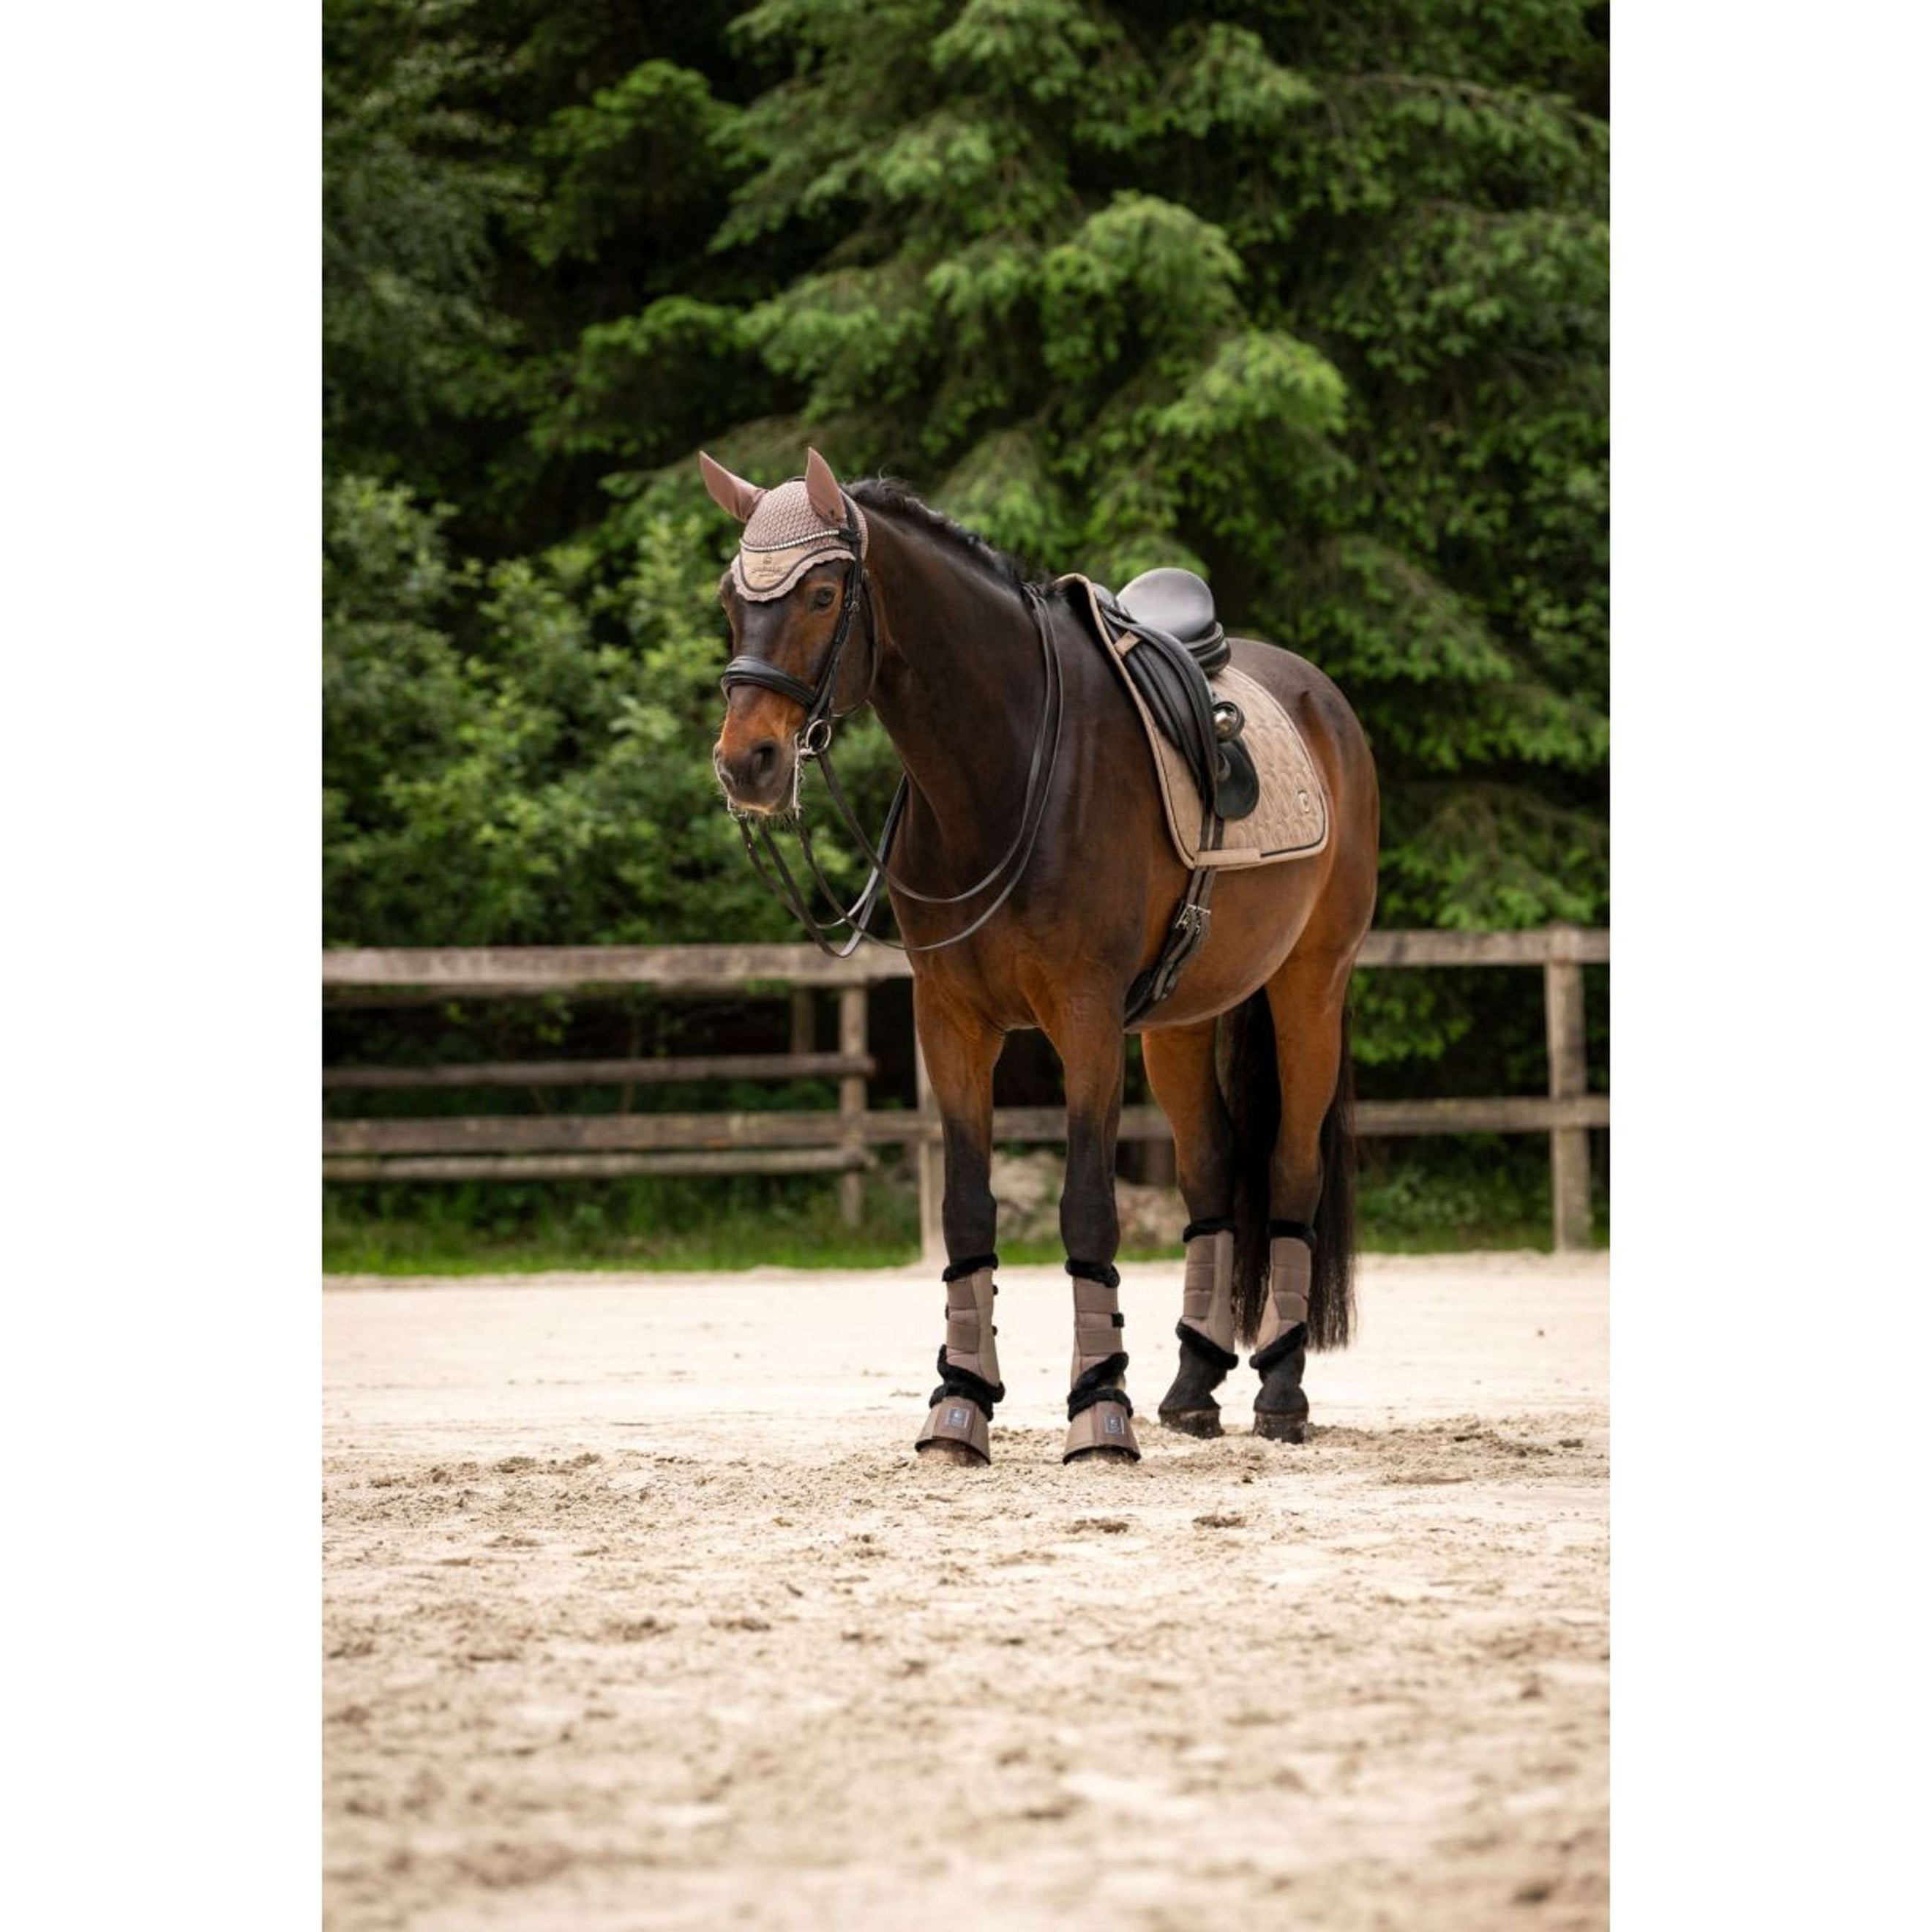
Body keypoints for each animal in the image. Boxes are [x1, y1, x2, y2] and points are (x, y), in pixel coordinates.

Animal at [702, 447, 1379, 1465]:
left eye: (821, 594)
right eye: (730, 600)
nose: (748, 764)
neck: (1006, 763)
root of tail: (1318, 696)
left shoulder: (1085, 1016)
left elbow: (1087, 1206)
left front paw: (1100, 1409)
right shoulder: (951, 1020)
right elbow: (968, 1209)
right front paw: (960, 1405)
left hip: (1310, 988)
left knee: (1292, 1168)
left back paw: (1280, 1391)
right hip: (1181, 1022)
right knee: (1212, 1173)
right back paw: (1193, 1386)